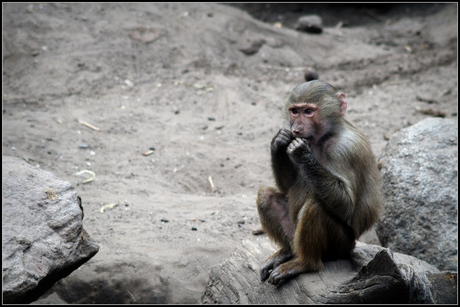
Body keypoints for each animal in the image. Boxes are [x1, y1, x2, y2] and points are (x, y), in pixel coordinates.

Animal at [256, 79, 382, 286]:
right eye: (295, 111)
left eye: (308, 111)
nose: (296, 129)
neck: (324, 137)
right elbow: (287, 186)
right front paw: (279, 141)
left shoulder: (346, 149)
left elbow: (346, 205)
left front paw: (301, 152)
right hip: (293, 234)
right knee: (265, 196)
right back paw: (286, 253)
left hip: (339, 245)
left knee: (316, 206)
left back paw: (305, 263)